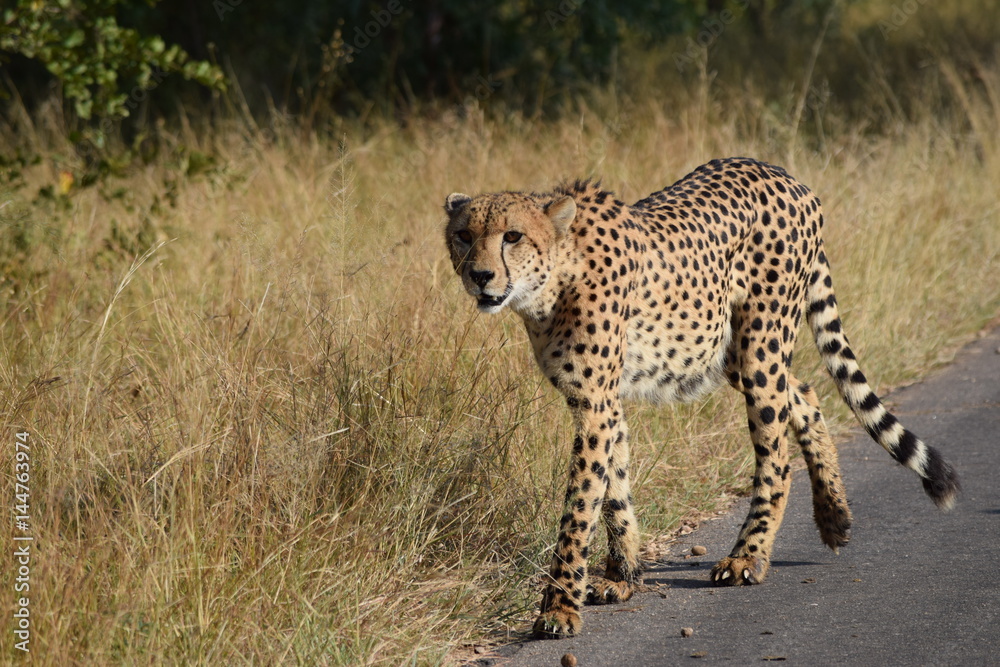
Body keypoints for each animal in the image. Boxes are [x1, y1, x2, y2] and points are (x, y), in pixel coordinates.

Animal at [442, 157, 959, 639]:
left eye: (512, 236)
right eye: (464, 235)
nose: (480, 276)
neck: (554, 277)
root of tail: (783, 173)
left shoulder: (595, 404)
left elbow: (580, 506)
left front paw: (559, 607)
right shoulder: (601, 402)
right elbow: (614, 490)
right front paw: (623, 576)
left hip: (760, 345)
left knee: (777, 455)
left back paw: (748, 557)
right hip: (724, 350)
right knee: (806, 395)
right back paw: (834, 516)